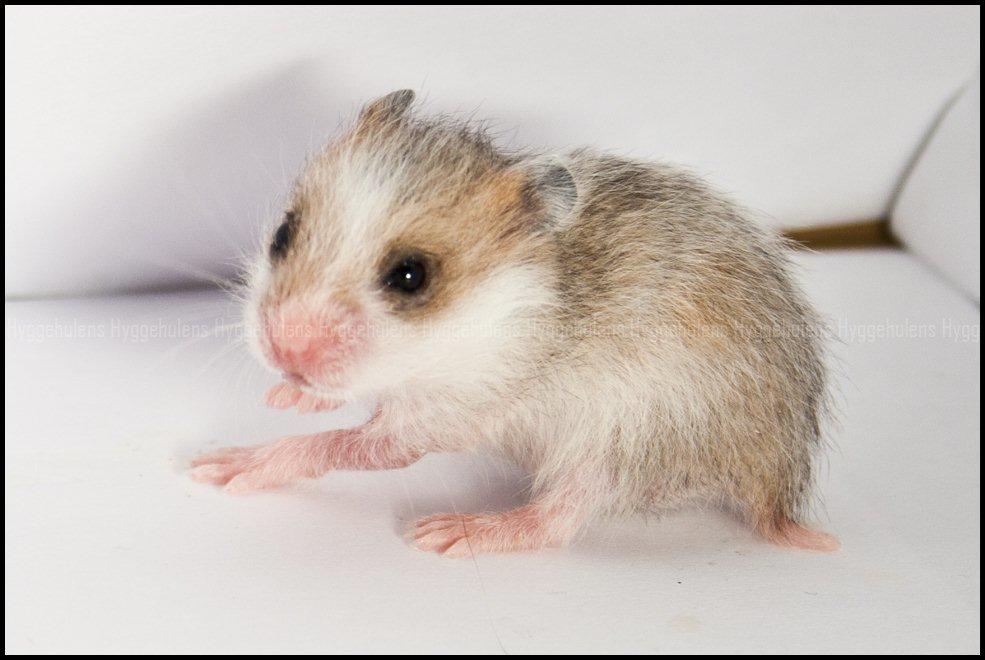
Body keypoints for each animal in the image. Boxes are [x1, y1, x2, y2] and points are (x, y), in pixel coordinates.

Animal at [190, 90, 839, 556]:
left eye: (411, 276)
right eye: (282, 234)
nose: (283, 352)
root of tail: (778, 492)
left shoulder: (450, 413)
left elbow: (345, 445)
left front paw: (227, 468)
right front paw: (288, 397)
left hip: (630, 438)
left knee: (559, 518)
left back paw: (456, 533)